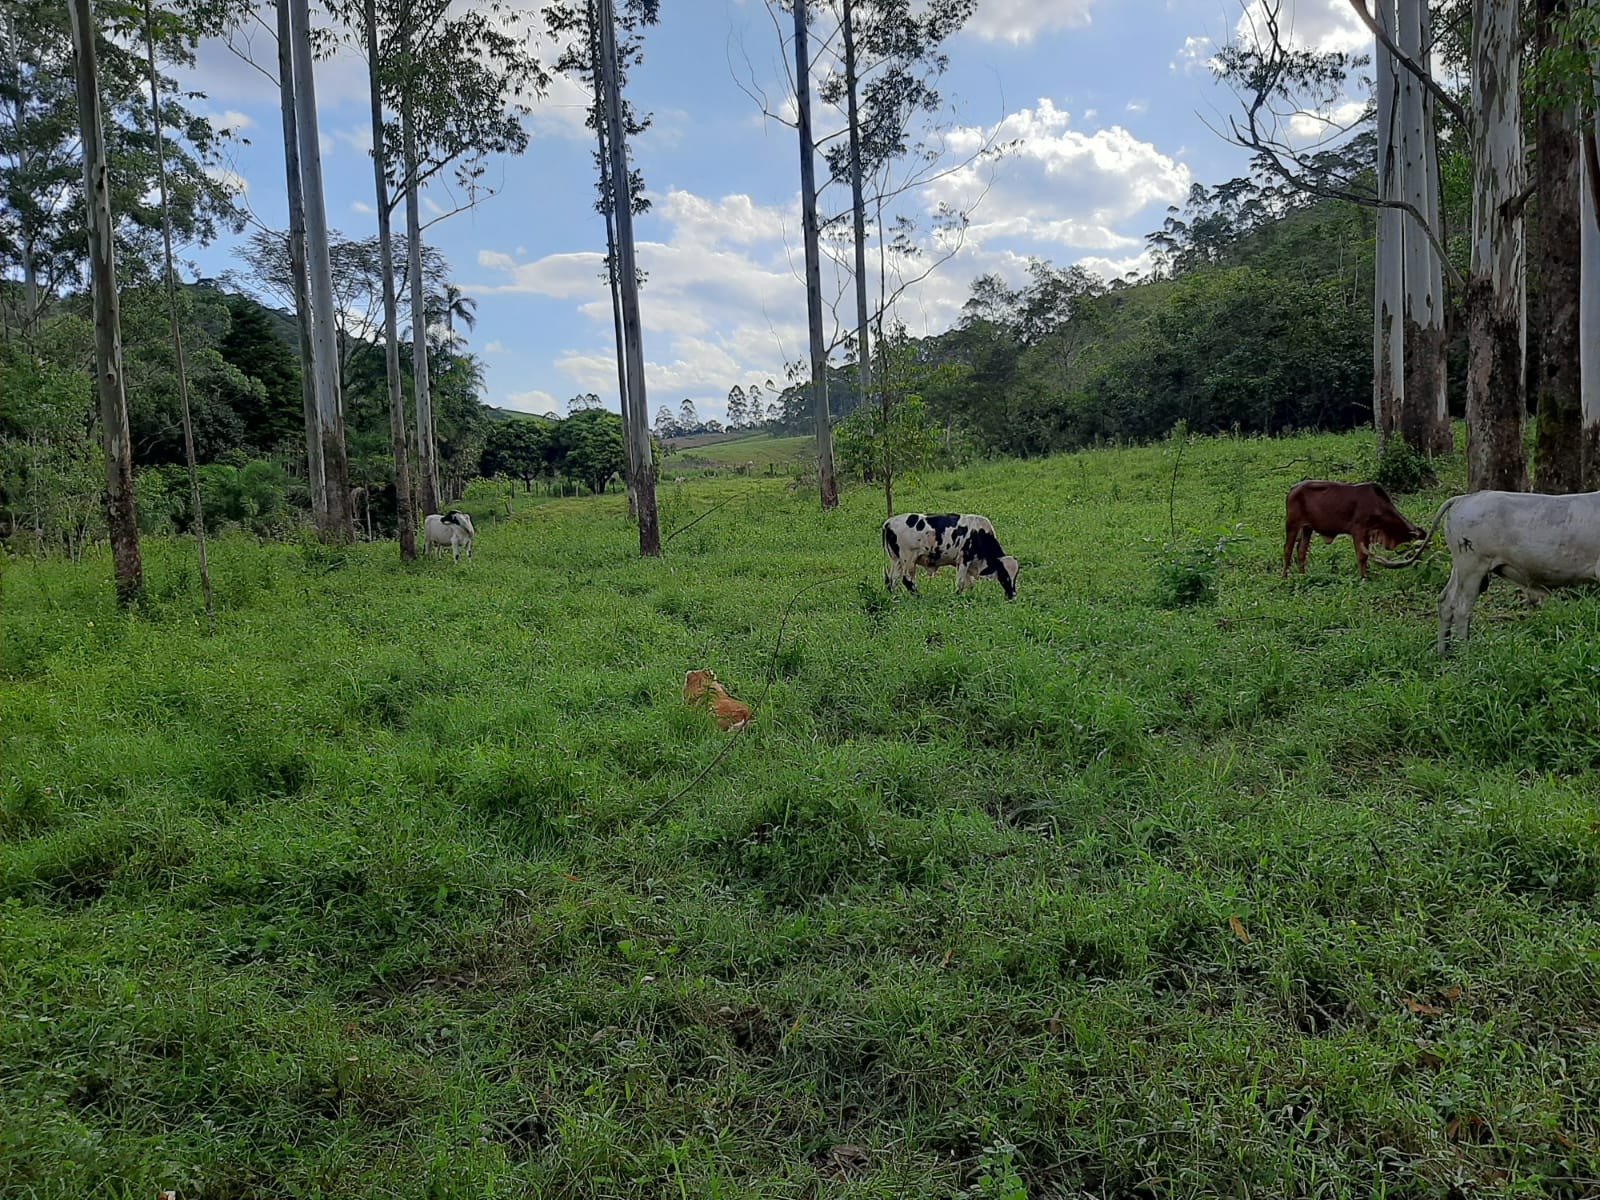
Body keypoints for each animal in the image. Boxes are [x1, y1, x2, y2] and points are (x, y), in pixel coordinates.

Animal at [883, 512, 1017, 601]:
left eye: (1015, 577)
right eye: (1005, 575)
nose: (1012, 595)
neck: (980, 534)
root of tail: (889, 522)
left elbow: (970, 583)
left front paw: (971, 596)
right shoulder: (964, 559)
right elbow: (961, 582)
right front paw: (957, 596)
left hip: (896, 560)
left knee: (892, 579)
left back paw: (893, 596)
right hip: (908, 559)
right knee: (907, 580)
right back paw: (918, 597)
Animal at [1286, 483, 1427, 579]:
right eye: (1417, 546)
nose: (1419, 563)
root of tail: (1293, 489)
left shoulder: (1369, 534)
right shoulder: (1359, 530)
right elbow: (1362, 557)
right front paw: (1363, 578)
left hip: (1307, 528)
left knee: (1301, 550)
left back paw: (1302, 575)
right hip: (1292, 524)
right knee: (1288, 549)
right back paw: (1284, 577)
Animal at [1376, 489, 1600, 659]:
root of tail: (1463, 498)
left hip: (1460, 567)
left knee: (1445, 602)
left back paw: (1444, 653)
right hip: (1473, 567)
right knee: (1462, 609)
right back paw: (1465, 654)